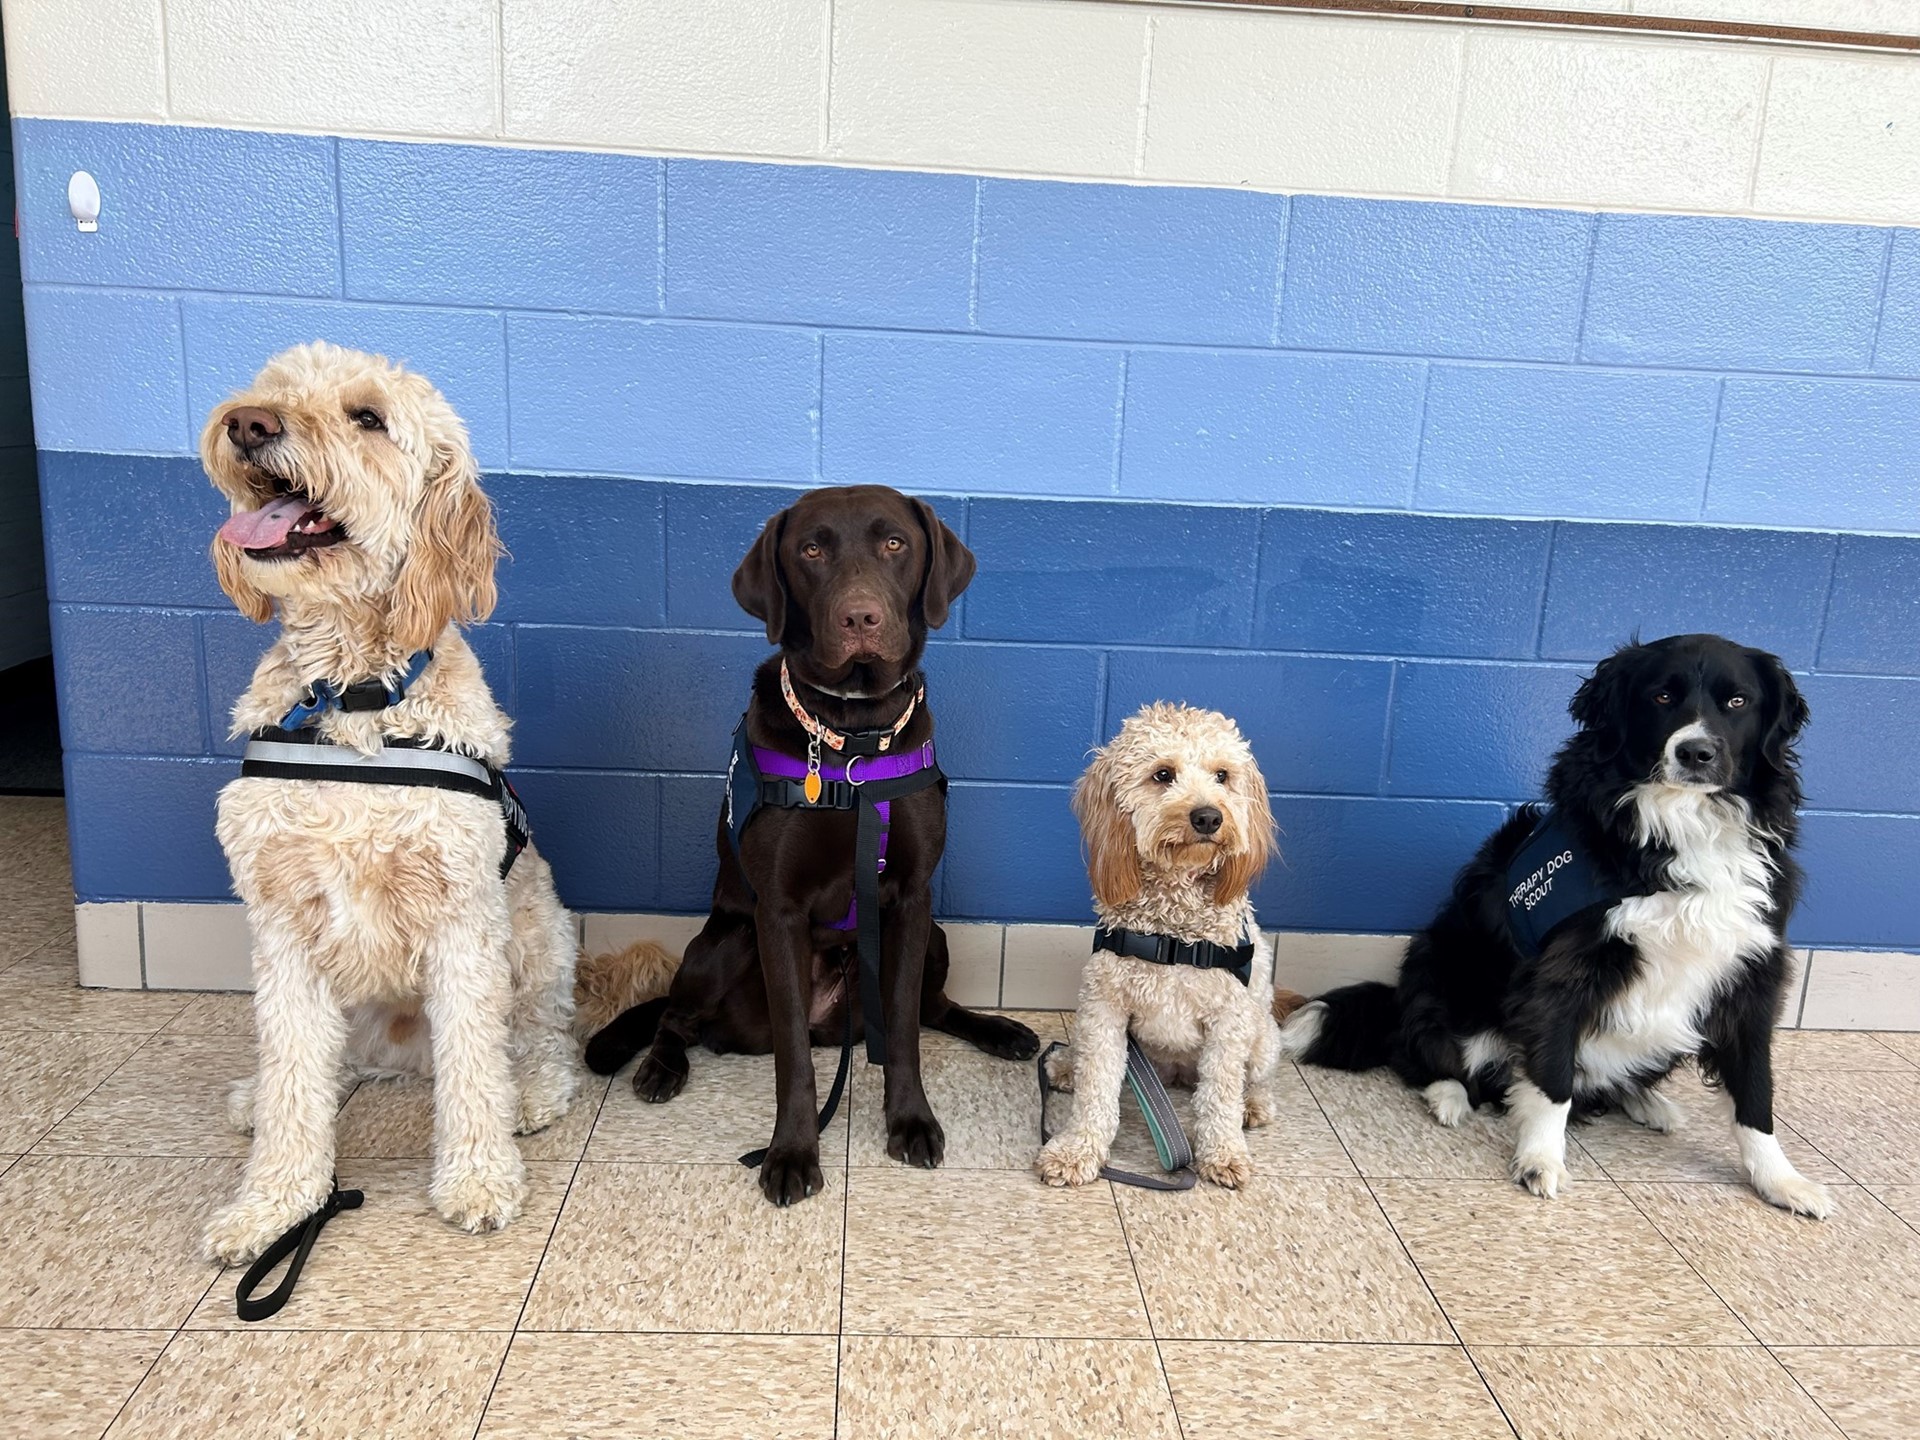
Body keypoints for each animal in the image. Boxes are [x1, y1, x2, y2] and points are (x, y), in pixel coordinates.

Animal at [1274, 637, 1827, 1221]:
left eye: (1738, 701)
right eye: (1661, 696)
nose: (1695, 752)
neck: (1677, 831)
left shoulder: (1752, 972)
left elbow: (1756, 1092)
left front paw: (1782, 1180)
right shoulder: (1563, 973)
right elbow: (1553, 1078)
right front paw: (1540, 1159)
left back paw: (1647, 1101)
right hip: (1438, 971)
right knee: (1424, 1053)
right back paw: (1448, 1096)